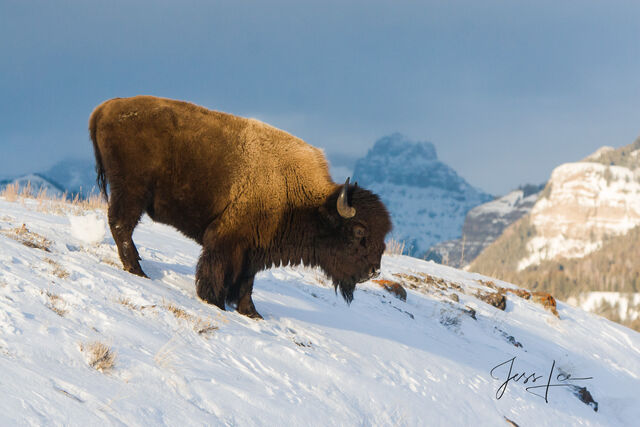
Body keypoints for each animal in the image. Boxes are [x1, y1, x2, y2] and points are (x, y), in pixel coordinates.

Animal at [89, 96, 390, 318]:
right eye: (359, 232)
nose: (374, 272)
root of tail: (105, 108)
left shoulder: (254, 249)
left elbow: (246, 283)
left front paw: (252, 313)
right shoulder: (226, 240)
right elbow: (216, 270)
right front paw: (214, 302)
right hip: (132, 192)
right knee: (121, 224)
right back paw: (137, 269)